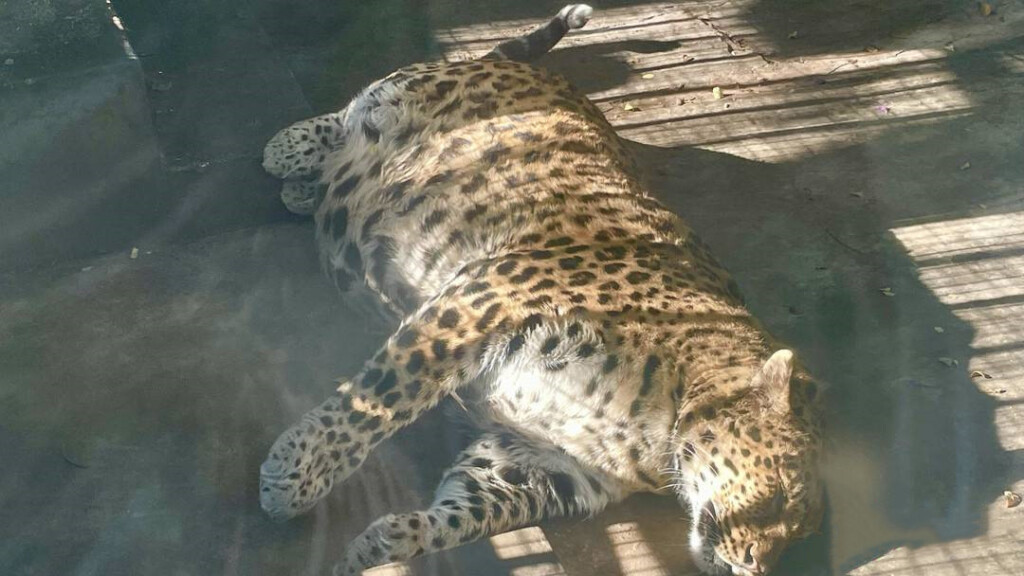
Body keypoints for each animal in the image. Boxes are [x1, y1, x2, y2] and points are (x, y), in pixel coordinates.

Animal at [258, 5, 825, 575]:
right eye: (780, 494)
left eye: (796, 539)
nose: (755, 566)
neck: (661, 431)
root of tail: (540, 73)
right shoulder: (486, 299)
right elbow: (379, 399)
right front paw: (294, 474)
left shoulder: (543, 464)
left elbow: (467, 513)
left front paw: (382, 544)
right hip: (420, 91)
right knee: (361, 105)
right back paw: (290, 147)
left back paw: (306, 187)